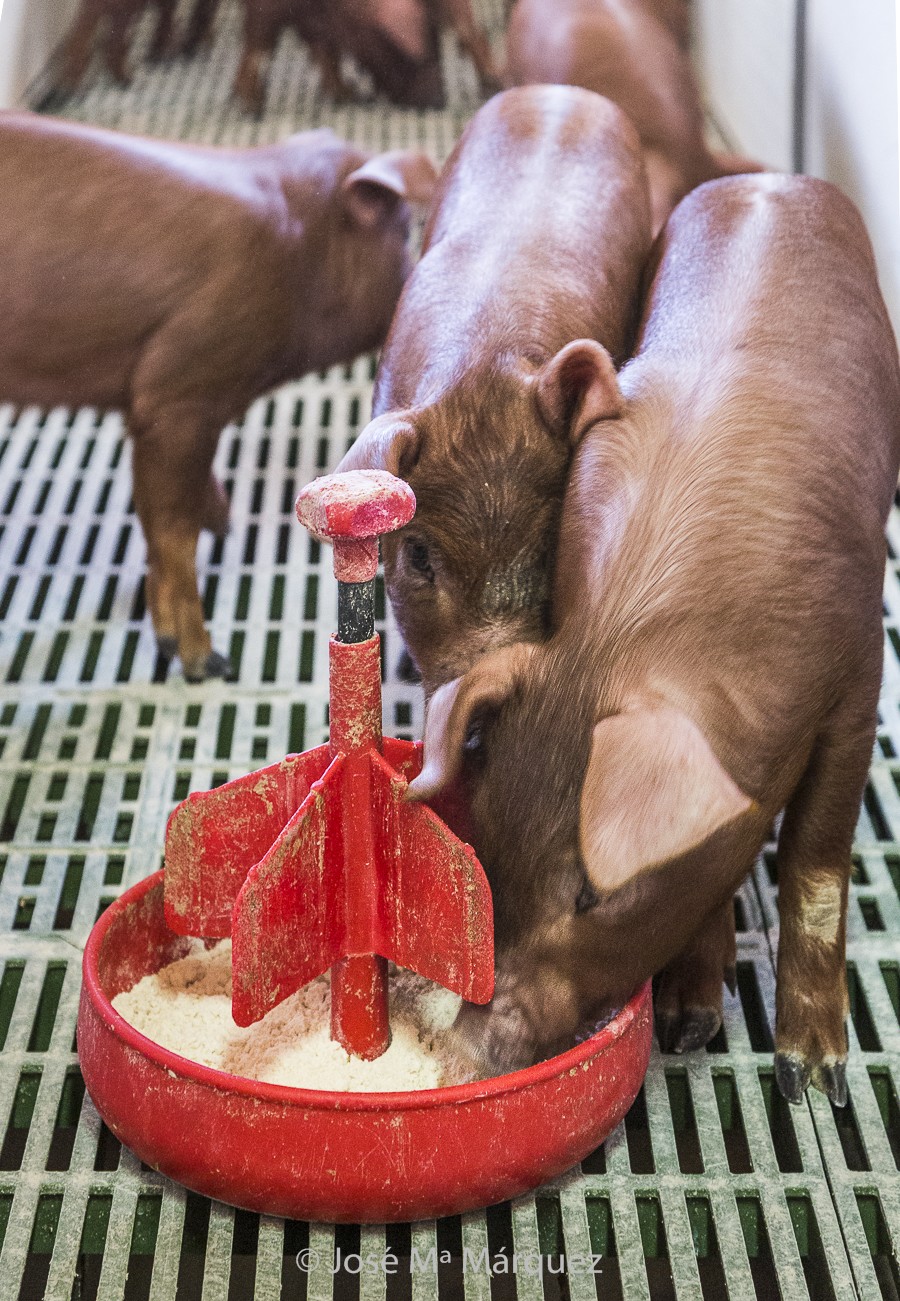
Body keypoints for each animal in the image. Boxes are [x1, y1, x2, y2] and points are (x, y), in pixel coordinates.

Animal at [0, 112, 437, 680]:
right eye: (403, 230)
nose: (415, 290)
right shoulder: (177, 393)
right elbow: (171, 528)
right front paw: (207, 663)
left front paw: (224, 521)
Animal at [409, 174, 900, 1106]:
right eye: (488, 845)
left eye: (592, 896)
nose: (462, 1056)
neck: (624, 642)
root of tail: (771, 178)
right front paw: (688, 1024)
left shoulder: (858, 672)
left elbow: (817, 860)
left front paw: (810, 1076)